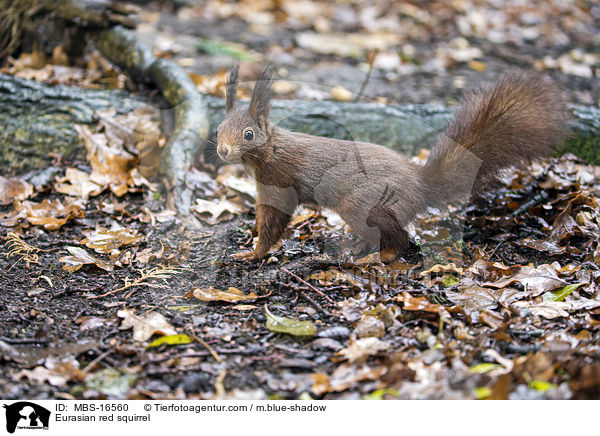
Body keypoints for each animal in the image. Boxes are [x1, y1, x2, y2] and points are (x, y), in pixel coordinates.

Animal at [214, 66, 568, 260]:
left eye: (248, 134)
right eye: (218, 129)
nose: (222, 151)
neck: (270, 150)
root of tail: (421, 186)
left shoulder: (279, 182)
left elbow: (273, 222)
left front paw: (254, 252)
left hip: (363, 204)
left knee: (400, 241)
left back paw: (376, 257)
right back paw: (358, 247)